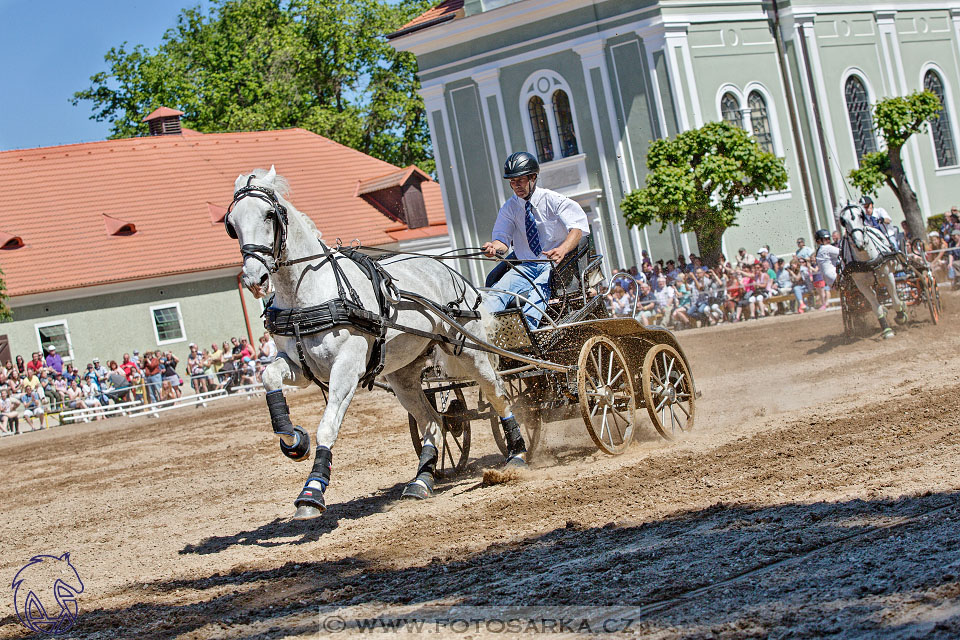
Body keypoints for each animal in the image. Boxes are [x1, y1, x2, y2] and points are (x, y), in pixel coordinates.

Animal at [224, 168, 524, 516]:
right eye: (232, 224)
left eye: (269, 214)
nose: (253, 279)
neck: (309, 292)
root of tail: (452, 272)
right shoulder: (300, 368)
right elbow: (268, 376)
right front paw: (294, 440)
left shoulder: (348, 367)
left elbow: (328, 426)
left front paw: (312, 491)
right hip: (403, 375)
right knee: (434, 422)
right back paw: (421, 480)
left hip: (468, 351)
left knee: (499, 396)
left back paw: (517, 454)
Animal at [840, 204, 908, 340]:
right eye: (843, 221)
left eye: (861, 216)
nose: (859, 243)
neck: (868, 259)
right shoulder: (863, 286)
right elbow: (876, 307)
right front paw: (887, 330)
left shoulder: (888, 277)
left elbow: (895, 301)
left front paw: (901, 316)